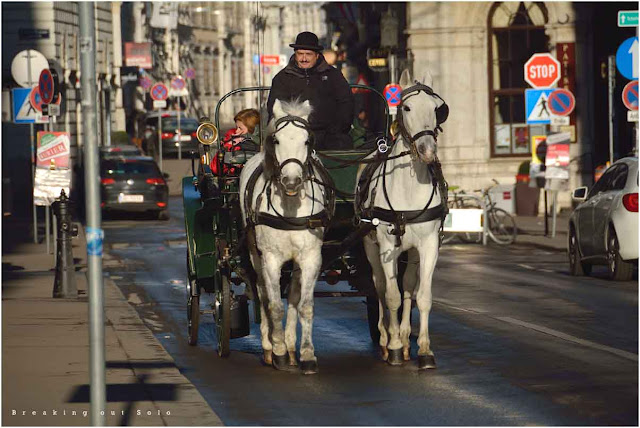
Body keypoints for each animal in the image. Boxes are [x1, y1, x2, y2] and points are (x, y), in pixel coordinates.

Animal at [238, 98, 332, 372]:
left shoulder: (311, 257)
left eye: (307, 141)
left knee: (293, 294)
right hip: (255, 254)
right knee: (262, 293)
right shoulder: (270, 258)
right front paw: (277, 350)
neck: (290, 207)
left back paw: (291, 346)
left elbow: (305, 306)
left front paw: (307, 354)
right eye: (277, 140)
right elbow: (274, 306)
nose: (291, 181)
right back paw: (271, 346)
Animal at [358, 68, 448, 370]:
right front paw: (395, 346)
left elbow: (422, 296)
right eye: (407, 107)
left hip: (412, 251)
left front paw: (424, 350)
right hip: (371, 247)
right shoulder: (386, 245)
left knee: (408, 285)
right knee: (380, 287)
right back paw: (387, 338)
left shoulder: (429, 245)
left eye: (437, 108)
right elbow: (391, 296)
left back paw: (406, 335)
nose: (428, 151)